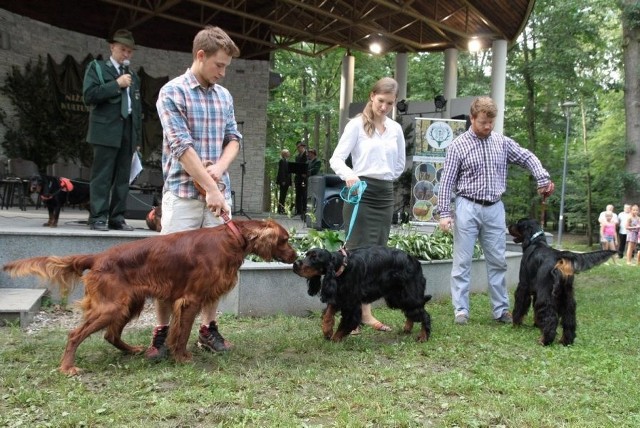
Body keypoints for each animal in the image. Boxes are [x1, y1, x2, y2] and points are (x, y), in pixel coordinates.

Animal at [292, 247, 432, 342]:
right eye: (306, 254)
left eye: (315, 258)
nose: (295, 264)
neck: (342, 266)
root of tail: (415, 261)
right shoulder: (339, 296)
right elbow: (328, 314)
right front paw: (327, 331)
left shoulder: (351, 303)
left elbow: (346, 323)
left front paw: (335, 339)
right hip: (396, 297)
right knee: (412, 312)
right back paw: (407, 328)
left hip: (408, 295)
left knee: (424, 314)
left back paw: (423, 336)